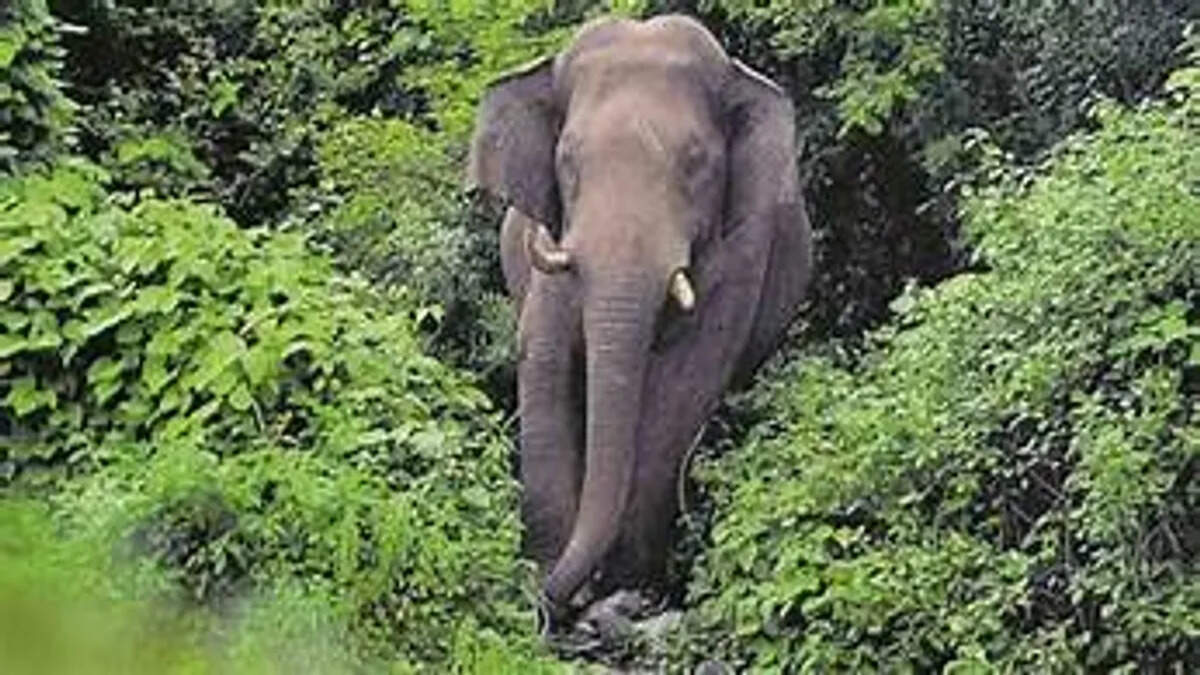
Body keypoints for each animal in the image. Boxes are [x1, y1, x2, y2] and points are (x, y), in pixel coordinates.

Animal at [467, 14, 813, 623]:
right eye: (568, 161)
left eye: (696, 163)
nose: (548, 605)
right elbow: (546, 362)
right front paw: (551, 568)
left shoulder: (742, 248)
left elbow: (686, 379)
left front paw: (625, 586)